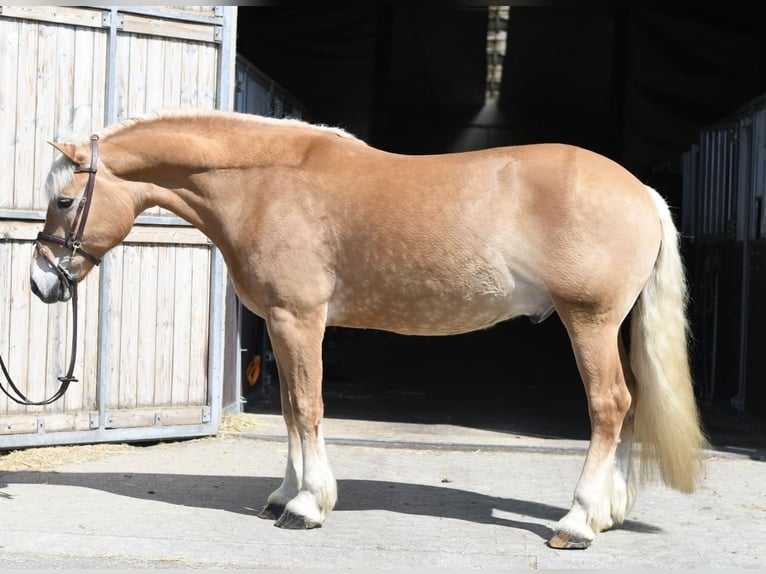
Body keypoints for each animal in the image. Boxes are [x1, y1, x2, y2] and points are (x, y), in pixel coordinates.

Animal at [30, 109, 707, 549]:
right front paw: (285, 494)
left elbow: (307, 406)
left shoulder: (298, 318)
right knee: (626, 405)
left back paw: (577, 522)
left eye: (64, 201)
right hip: (612, 326)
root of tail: (640, 190)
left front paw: (307, 506)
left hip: (587, 320)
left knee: (607, 404)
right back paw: (607, 513)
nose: (42, 282)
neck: (266, 182)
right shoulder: (283, 325)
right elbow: (290, 410)